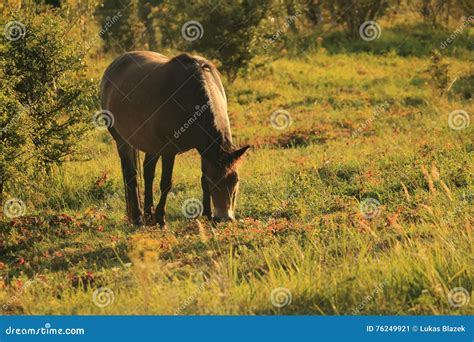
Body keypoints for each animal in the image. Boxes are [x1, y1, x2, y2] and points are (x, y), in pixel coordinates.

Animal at [99, 50, 248, 226]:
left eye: (235, 180)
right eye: (214, 182)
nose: (224, 218)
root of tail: (113, 66)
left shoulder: (205, 150)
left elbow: (202, 179)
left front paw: (207, 214)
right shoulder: (169, 151)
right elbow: (166, 183)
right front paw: (161, 218)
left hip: (151, 145)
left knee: (148, 173)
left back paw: (148, 214)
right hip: (123, 141)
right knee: (131, 175)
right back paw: (138, 218)